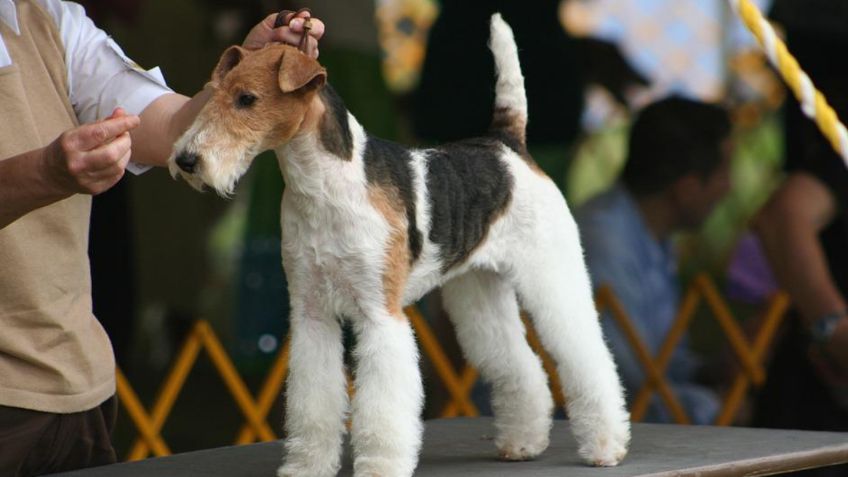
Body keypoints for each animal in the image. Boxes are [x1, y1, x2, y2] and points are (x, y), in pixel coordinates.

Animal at [171, 13, 628, 476]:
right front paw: (306, 465)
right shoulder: (311, 313)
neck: (321, 186)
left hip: (552, 274)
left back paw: (606, 446)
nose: (186, 160)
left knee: (587, 354)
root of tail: (506, 143)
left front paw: (379, 466)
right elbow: (313, 402)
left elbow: (382, 408)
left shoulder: (379, 313)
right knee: (520, 365)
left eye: (247, 98)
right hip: (479, 291)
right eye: (213, 93)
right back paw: (523, 442)